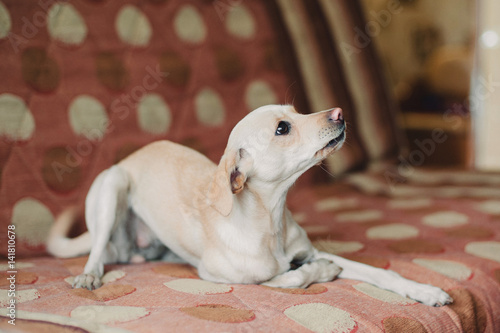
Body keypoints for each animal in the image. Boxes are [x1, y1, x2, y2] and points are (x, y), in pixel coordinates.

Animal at [48, 105, 452, 304]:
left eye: (296, 110)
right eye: (282, 128)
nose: (339, 113)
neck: (270, 220)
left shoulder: (311, 250)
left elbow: (383, 273)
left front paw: (426, 291)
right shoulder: (220, 276)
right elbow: (290, 278)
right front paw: (320, 273)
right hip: (112, 185)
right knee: (97, 253)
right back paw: (89, 274)